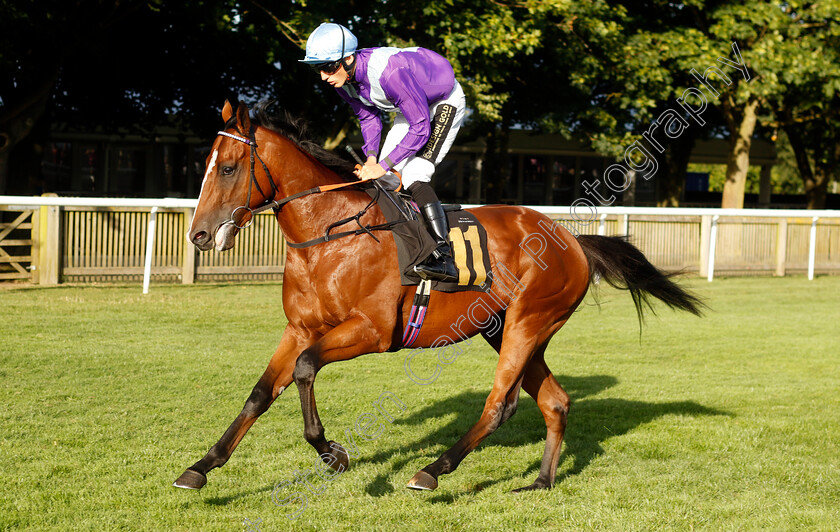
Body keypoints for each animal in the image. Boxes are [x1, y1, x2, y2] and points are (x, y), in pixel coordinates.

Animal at [176, 101, 704, 494]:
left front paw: (332, 453)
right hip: (506, 328)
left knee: (500, 405)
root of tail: (572, 239)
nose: (199, 235)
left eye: (227, 168)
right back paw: (540, 481)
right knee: (555, 402)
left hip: (528, 322)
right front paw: (201, 466)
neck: (329, 235)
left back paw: (431, 470)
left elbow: (305, 369)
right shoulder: (301, 328)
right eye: (204, 167)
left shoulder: (371, 331)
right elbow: (261, 393)